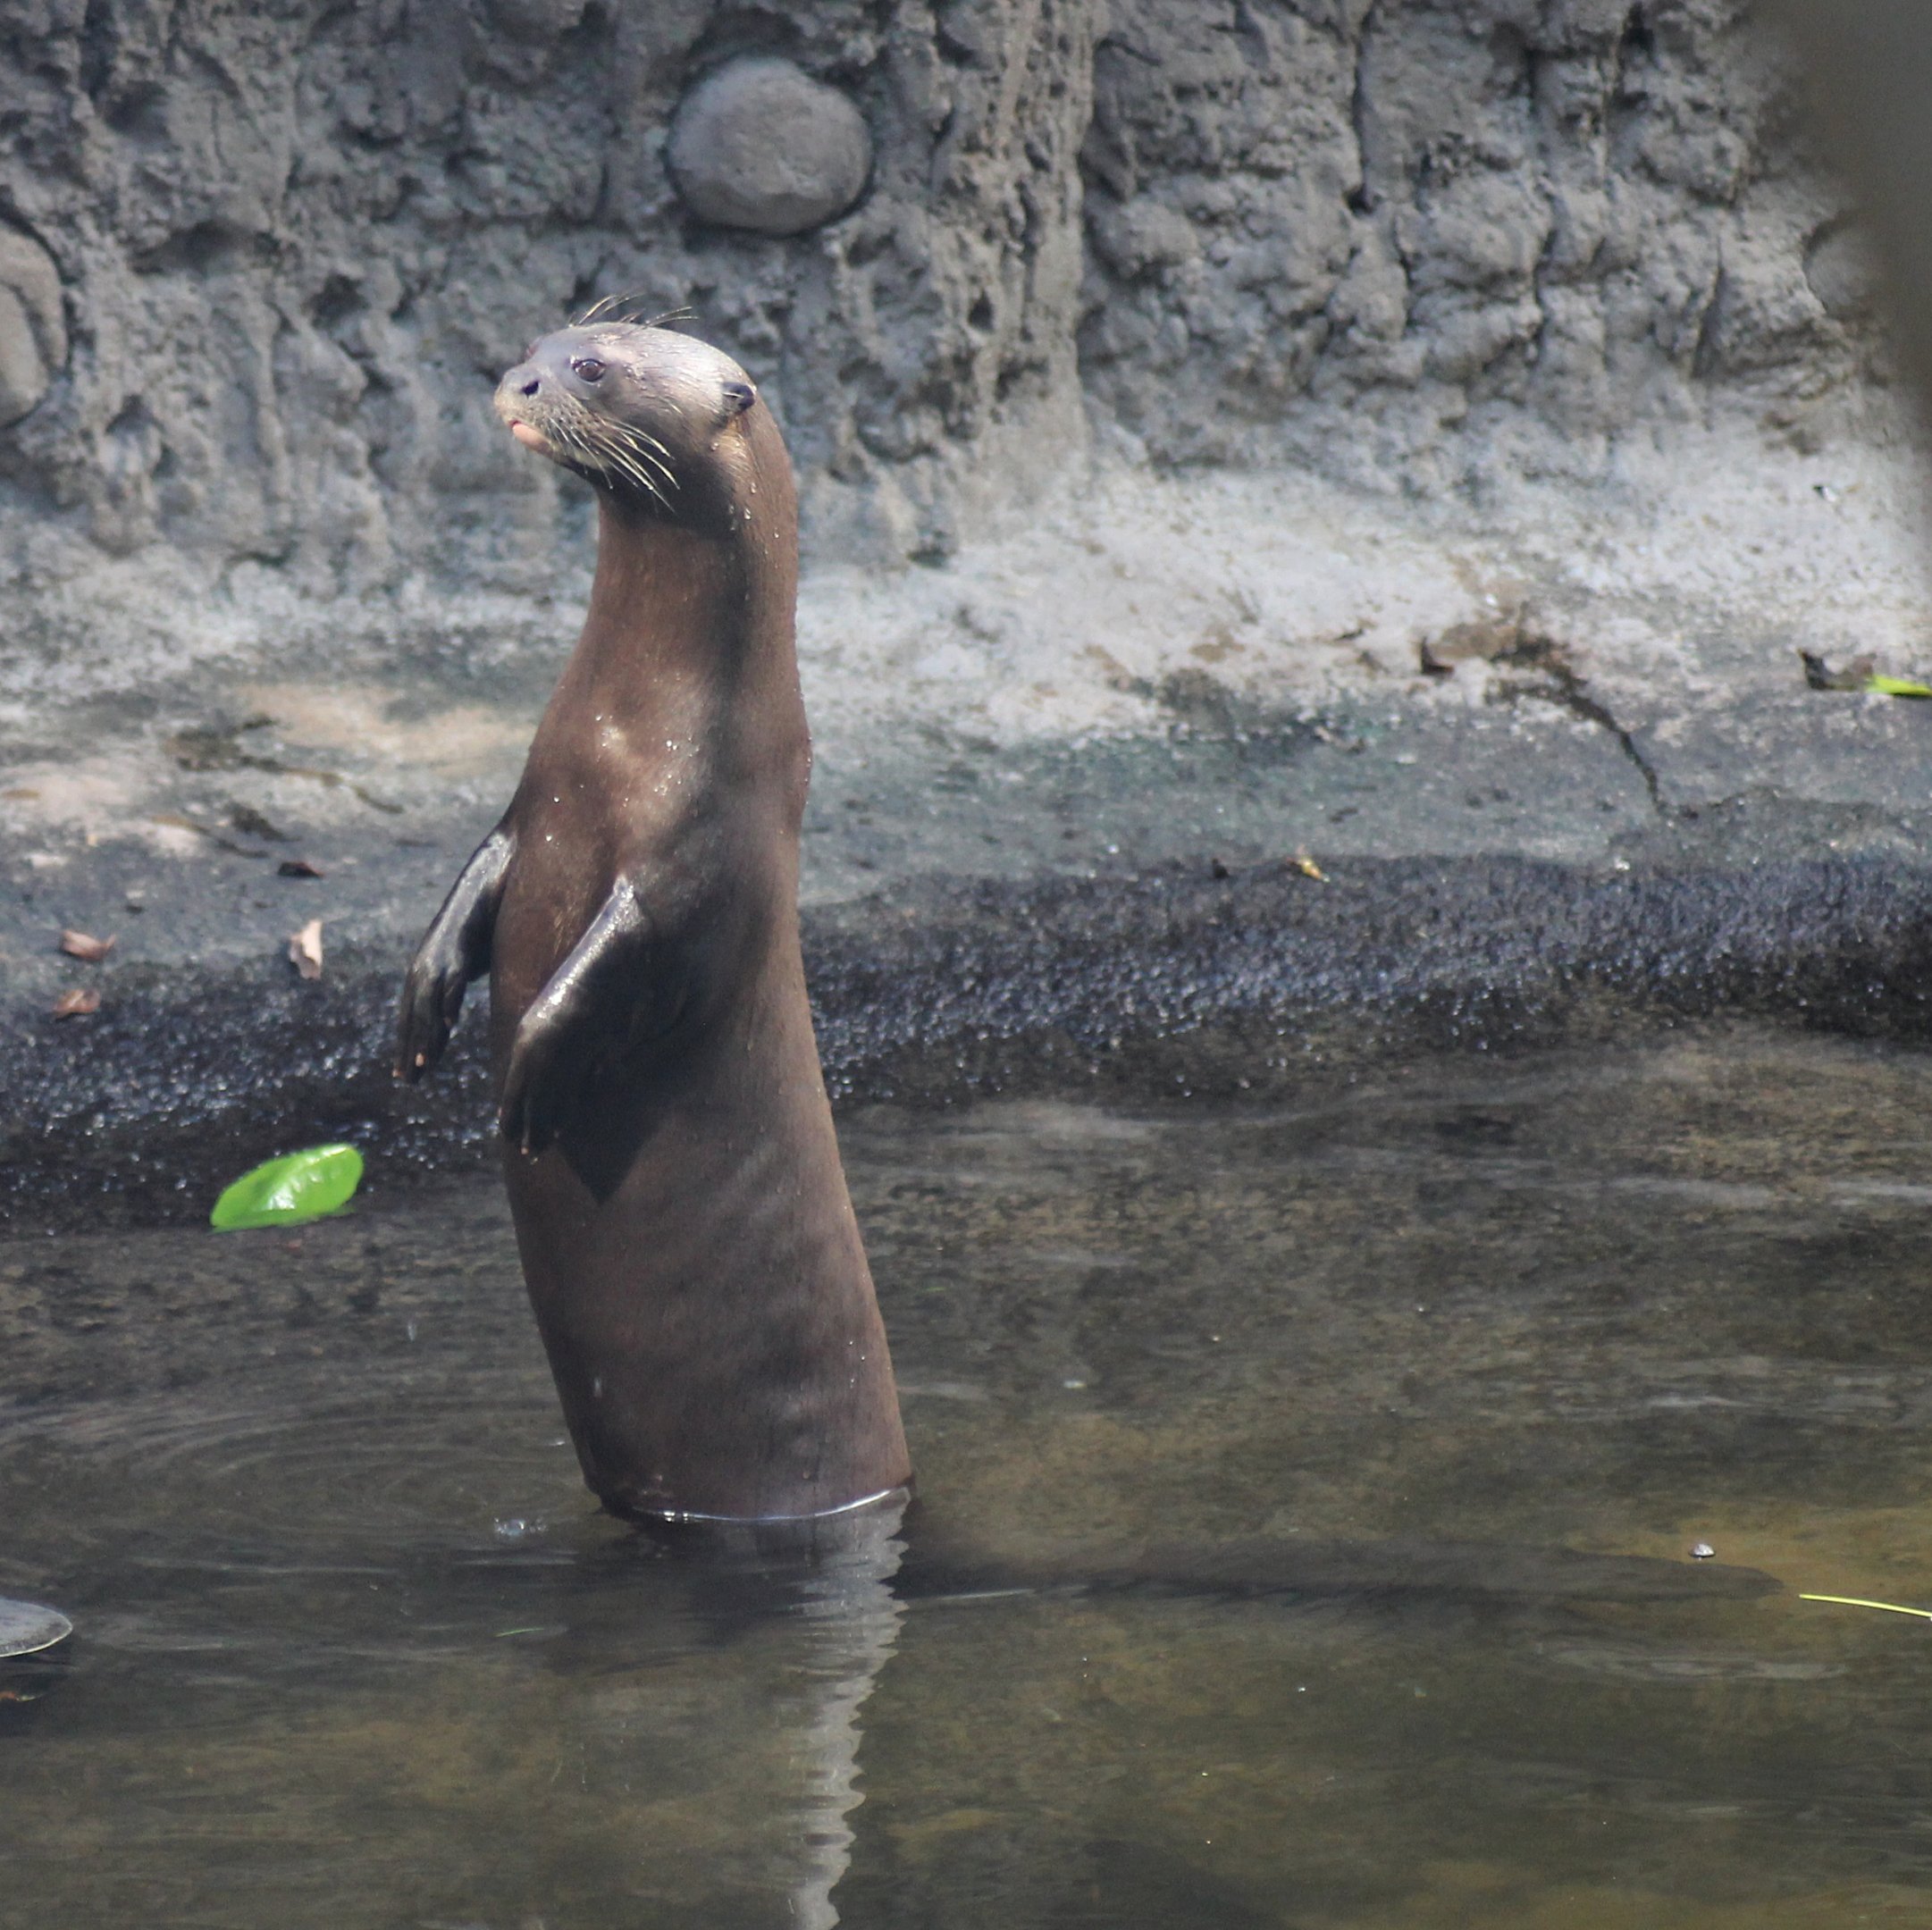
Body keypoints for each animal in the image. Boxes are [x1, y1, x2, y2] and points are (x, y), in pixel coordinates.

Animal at [396, 318, 911, 1528]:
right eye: (546, 337)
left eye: (593, 369)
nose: (519, 380)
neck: (624, 726)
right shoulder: (534, 798)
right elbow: (477, 881)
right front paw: (421, 1004)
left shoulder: (699, 857)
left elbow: (624, 959)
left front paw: (528, 1070)